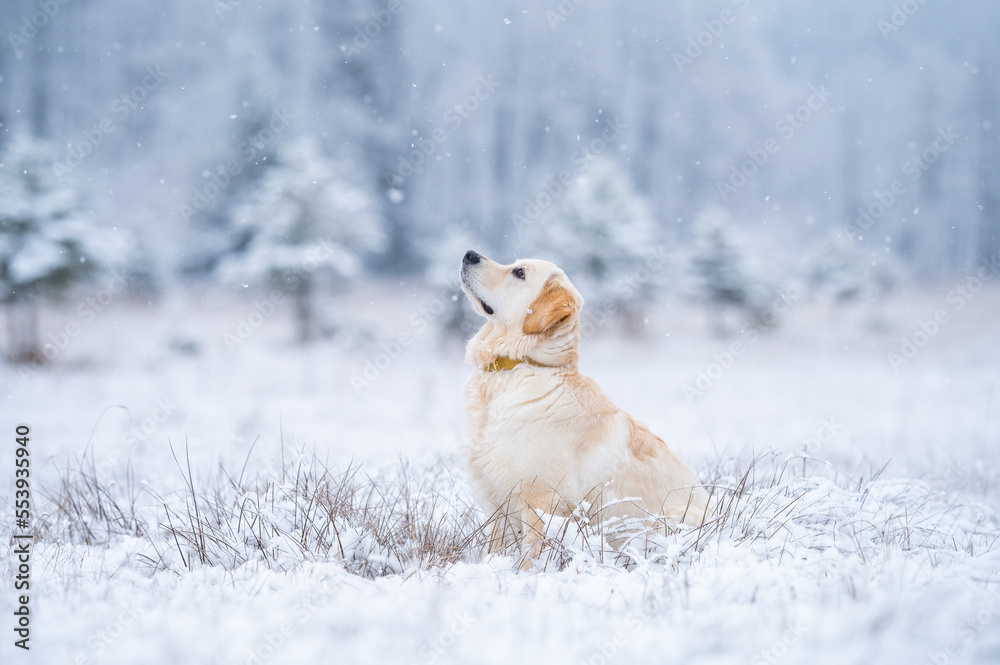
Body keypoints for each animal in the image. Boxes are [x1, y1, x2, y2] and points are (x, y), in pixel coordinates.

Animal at [460, 249, 712, 564]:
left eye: (519, 273)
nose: (469, 254)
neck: (522, 365)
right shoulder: (497, 497)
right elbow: (494, 547)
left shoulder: (538, 498)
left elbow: (530, 556)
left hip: (667, 522)